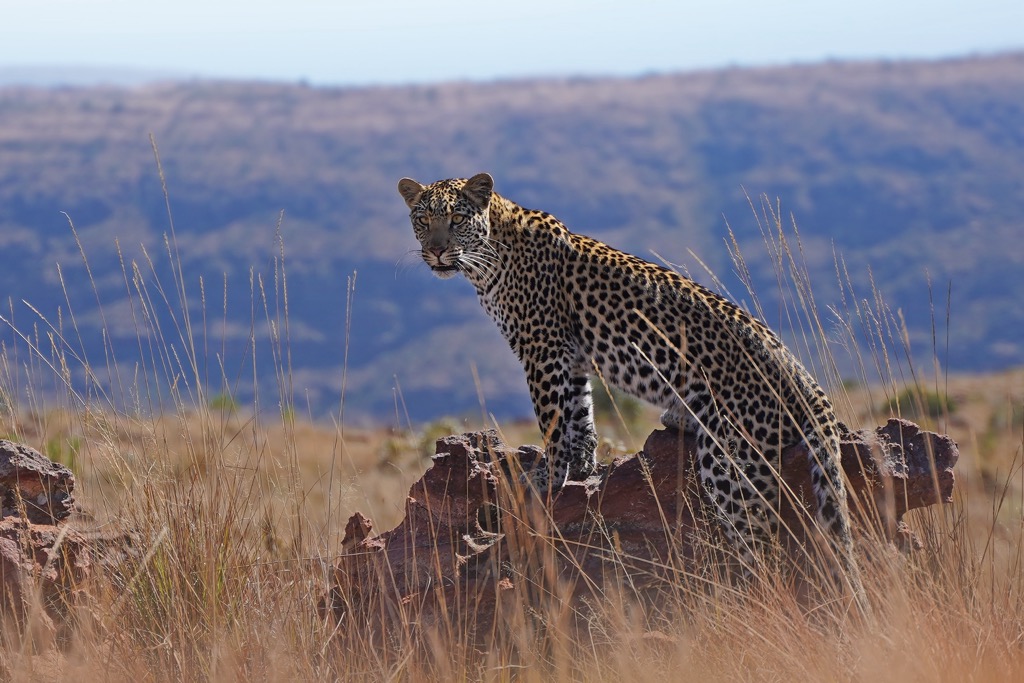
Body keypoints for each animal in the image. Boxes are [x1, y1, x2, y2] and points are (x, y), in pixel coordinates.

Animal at [397, 172, 864, 610]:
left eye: (457, 219)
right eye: (422, 220)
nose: (436, 251)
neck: (489, 255)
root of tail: (803, 376)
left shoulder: (543, 348)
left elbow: (551, 418)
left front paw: (548, 475)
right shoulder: (572, 356)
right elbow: (579, 412)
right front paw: (582, 465)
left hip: (730, 460)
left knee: (763, 548)